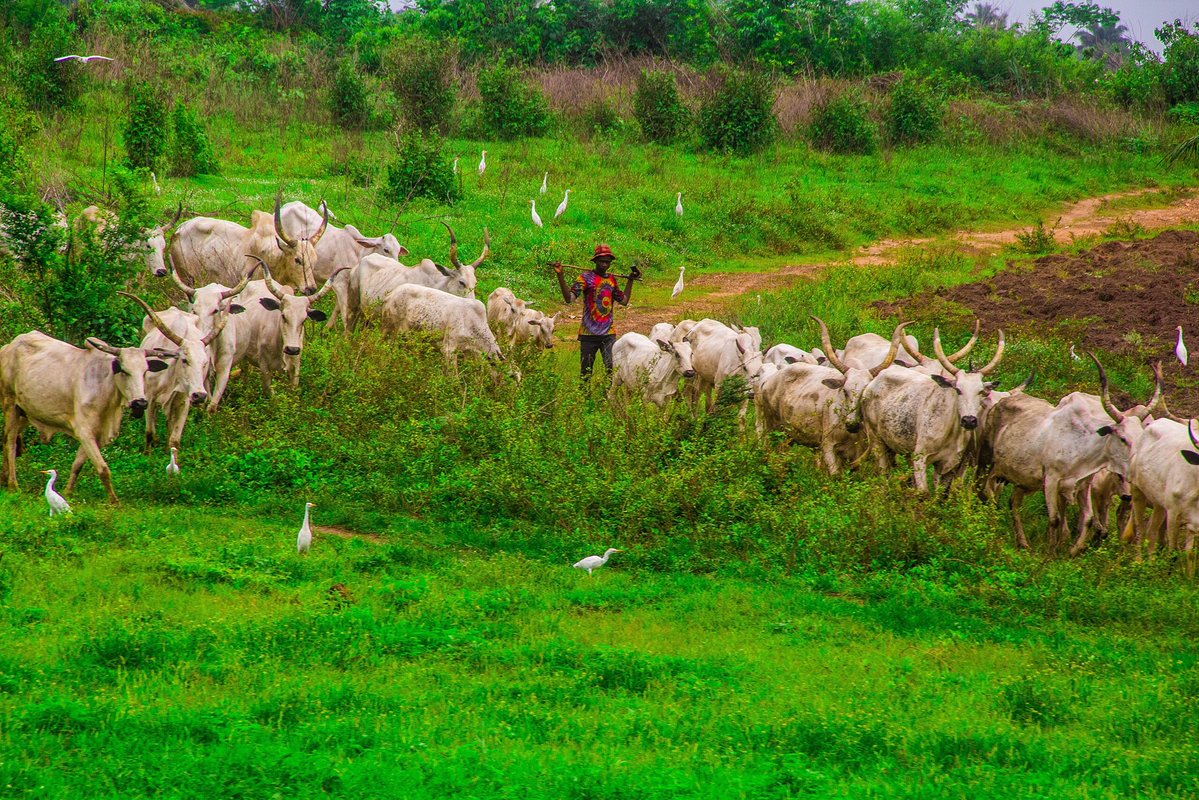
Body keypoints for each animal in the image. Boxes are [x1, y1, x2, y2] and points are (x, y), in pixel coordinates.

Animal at [0, 329, 172, 503]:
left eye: (145, 372)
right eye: (124, 370)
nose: (140, 403)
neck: (105, 388)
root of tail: (8, 346)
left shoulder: (98, 435)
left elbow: (77, 465)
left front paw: (68, 492)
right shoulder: (84, 432)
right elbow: (103, 468)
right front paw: (114, 501)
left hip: (25, 413)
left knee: (9, 440)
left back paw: (4, 479)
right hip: (10, 404)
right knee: (10, 442)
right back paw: (13, 484)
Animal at [118, 291, 234, 454]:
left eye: (205, 363)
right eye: (184, 360)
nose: (200, 396)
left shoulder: (183, 402)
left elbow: (174, 440)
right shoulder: (149, 398)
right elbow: (149, 433)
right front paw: (147, 455)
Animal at [169, 195, 327, 293]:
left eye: (314, 261)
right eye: (297, 260)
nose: (312, 289)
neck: (274, 260)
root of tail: (179, 229)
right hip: (185, 279)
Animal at [756, 319, 908, 474]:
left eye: (864, 394)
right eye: (844, 391)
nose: (852, 425)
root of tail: (771, 379)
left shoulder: (857, 454)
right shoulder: (828, 447)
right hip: (773, 429)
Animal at [861, 328, 1005, 494]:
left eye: (981, 392)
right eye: (958, 389)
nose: (969, 420)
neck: (950, 429)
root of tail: (874, 381)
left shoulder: (950, 464)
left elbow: (942, 494)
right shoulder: (920, 458)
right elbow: (924, 493)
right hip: (876, 440)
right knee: (884, 471)